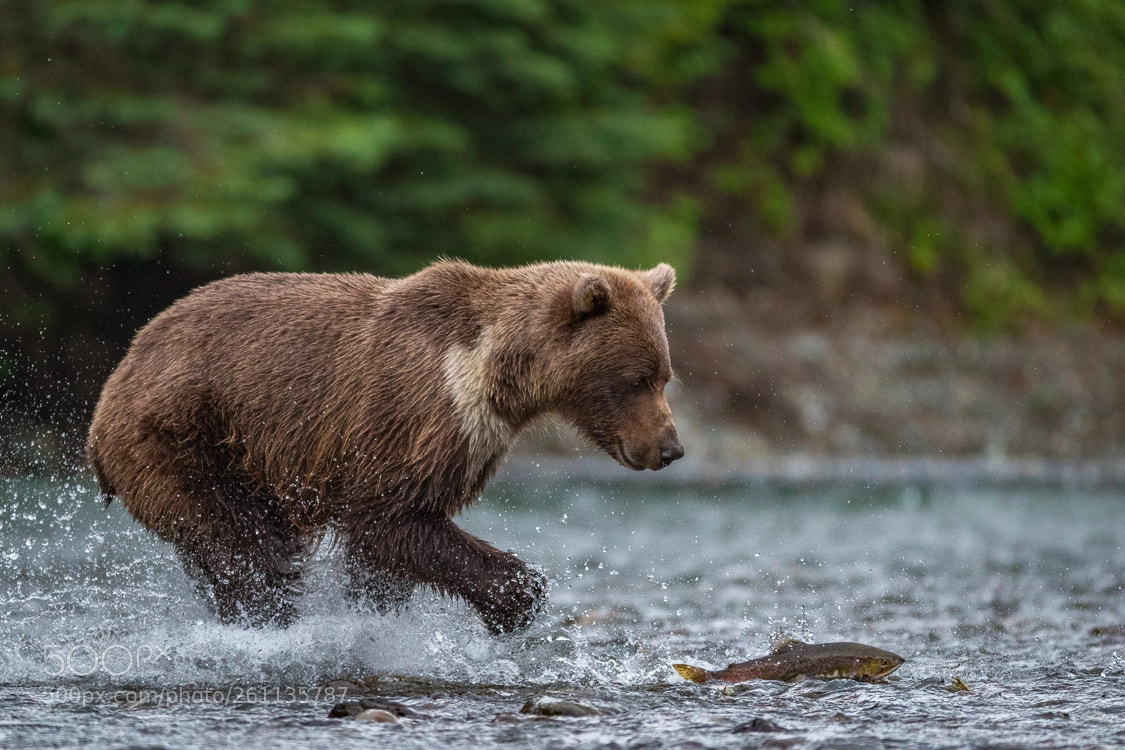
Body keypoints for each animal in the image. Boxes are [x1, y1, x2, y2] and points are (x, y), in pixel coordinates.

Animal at [86, 260, 683, 634]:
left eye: (665, 376)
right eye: (636, 379)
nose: (670, 448)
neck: (496, 375)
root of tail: (121, 369)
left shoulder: (467, 439)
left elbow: (390, 551)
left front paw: (375, 617)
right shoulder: (416, 416)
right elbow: (388, 518)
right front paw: (513, 602)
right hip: (179, 440)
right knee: (244, 545)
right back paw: (268, 619)